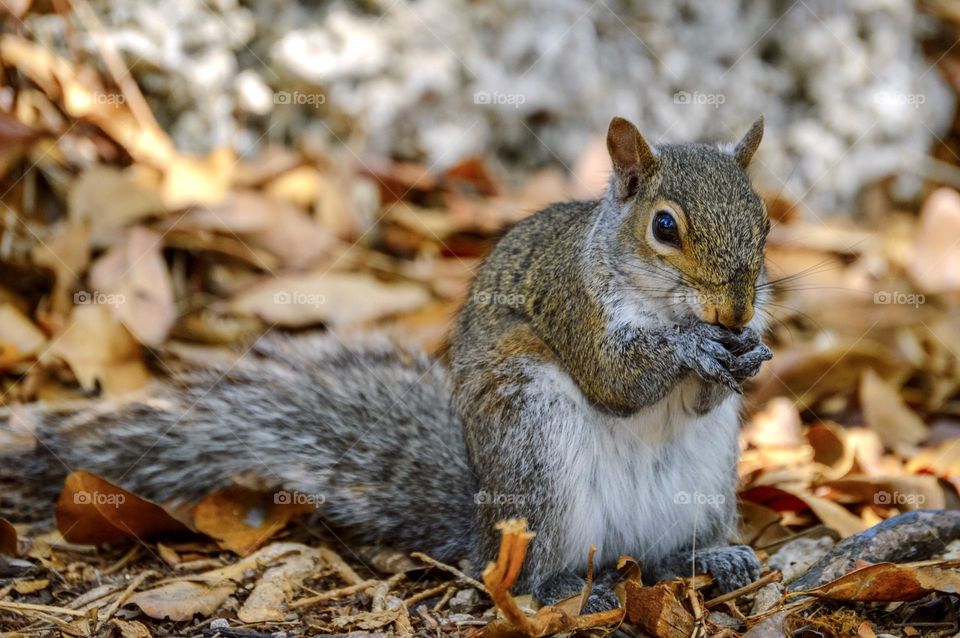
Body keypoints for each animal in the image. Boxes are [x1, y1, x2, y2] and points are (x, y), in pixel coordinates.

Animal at [4, 115, 774, 611]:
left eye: (765, 225)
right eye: (664, 227)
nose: (736, 314)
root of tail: (482, 526)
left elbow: (704, 392)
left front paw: (751, 354)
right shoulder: (572, 305)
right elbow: (617, 381)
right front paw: (689, 350)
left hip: (703, 480)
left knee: (663, 555)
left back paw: (713, 557)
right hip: (539, 453)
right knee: (525, 576)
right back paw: (566, 590)